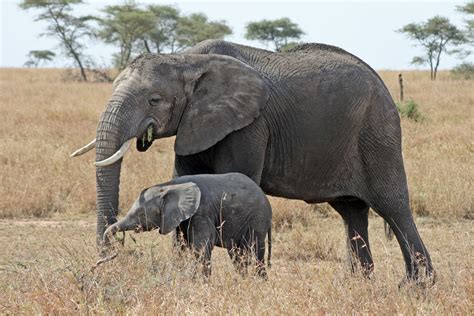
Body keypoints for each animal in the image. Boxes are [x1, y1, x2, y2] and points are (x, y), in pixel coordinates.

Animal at [105, 172, 272, 278]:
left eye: (140, 214)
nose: (116, 244)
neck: (169, 186)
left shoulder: (202, 211)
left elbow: (201, 247)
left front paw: (200, 283)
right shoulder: (182, 219)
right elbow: (183, 245)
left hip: (257, 219)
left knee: (256, 251)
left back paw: (259, 282)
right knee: (237, 254)